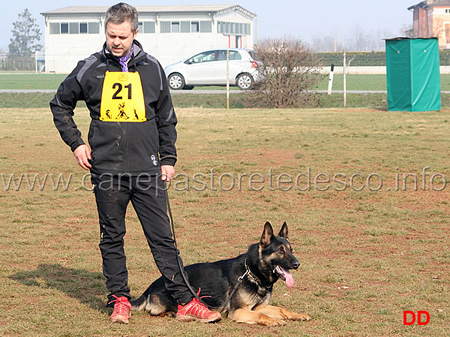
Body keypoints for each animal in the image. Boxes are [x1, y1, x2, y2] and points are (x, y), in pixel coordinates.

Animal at [132, 222, 312, 324]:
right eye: (280, 251)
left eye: (291, 250)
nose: (297, 264)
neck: (252, 273)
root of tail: (149, 287)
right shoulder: (238, 311)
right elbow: (263, 316)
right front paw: (273, 321)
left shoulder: (259, 307)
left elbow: (282, 310)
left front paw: (298, 315)